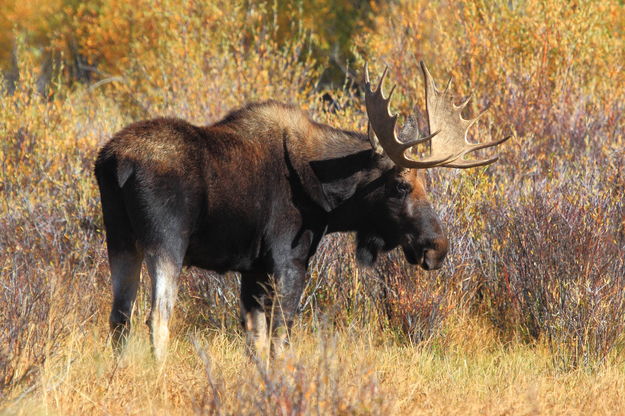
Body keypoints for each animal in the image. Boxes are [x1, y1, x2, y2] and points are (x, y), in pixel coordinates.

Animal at [95, 62, 510, 360]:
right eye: (401, 186)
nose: (437, 247)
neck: (328, 196)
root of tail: (116, 162)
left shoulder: (253, 268)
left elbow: (257, 343)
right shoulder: (288, 258)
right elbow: (282, 339)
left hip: (120, 240)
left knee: (119, 317)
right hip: (166, 242)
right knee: (156, 317)